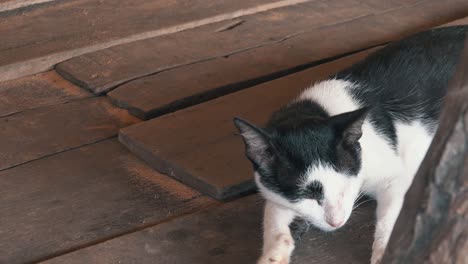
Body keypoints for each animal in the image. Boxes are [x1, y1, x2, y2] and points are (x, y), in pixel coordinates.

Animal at [232, 25, 466, 264]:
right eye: (308, 196)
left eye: (344, 186)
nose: (336, 222)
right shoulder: (271, 187)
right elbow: (273, 214)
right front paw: (273, 254)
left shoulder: (396, 175)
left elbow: (391, 215)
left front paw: (384, 251)